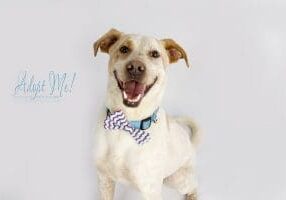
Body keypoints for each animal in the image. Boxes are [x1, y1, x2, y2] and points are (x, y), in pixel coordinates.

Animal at [92, 28, 200, 200]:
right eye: (124, 49)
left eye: (155, 54)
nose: (135, 67)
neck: (127, 123)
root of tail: (191, 145)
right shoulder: (104, 179)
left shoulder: (151, 189)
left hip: (177, 179)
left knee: (194, 185)